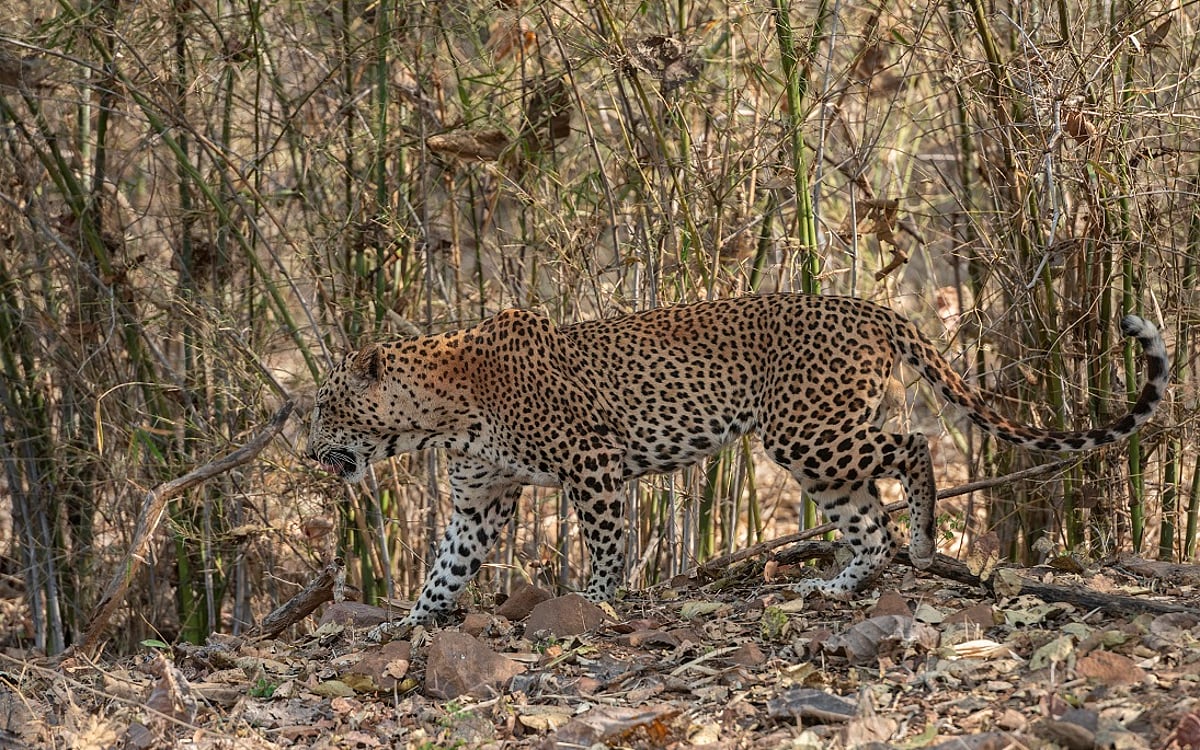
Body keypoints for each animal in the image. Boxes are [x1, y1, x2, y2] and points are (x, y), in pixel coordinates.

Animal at [306, 294, 1169, 635]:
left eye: (326, 407)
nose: (309, 450)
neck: (438, 415)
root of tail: (870, 307)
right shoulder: (480, 500)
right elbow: (445, 567)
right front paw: (412, 624)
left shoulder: (594, 460)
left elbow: (606, 543)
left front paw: (596, 603)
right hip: (816, 453)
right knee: (866, 523)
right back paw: (837, 585)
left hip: (806, 431)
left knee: (911, 449)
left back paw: (925, 544)